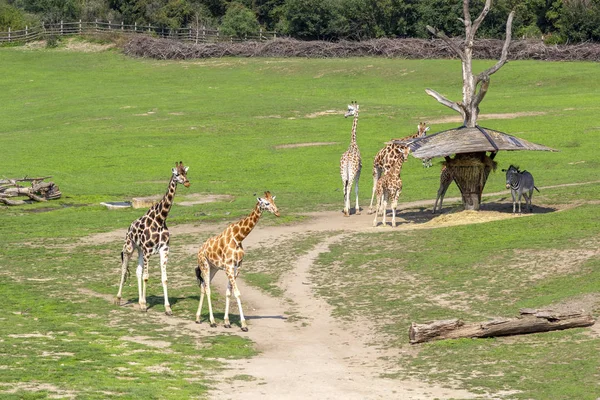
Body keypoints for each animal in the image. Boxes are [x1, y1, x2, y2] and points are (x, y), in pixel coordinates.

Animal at [115, 161, 190, 314]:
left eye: (186, 173)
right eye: (176, 174)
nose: (187, 182)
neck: (160, 219)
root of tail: (129, 228)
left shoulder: (164, 249)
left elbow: (164, 278)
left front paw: (167, 308)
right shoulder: (148, 251)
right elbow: (146, 277)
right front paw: (145, 305)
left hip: (139, 250)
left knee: (137, 271)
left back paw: (139, 301)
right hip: (129, 247)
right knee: (124, 269)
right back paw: (119, 299)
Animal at [197, 191, 282, 332]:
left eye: (274, 201)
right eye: (266, 203)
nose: (277, 212)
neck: (238, 237)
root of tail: (199, 250)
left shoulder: (237, 266)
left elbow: (229, 292)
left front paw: (227, 322)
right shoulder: (228, 267)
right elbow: (237, 293)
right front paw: (243, 325)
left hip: (213, 267)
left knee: (204, 285)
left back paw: (198, 318)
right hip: (204, 265)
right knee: (208, 288)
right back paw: (212, 321)